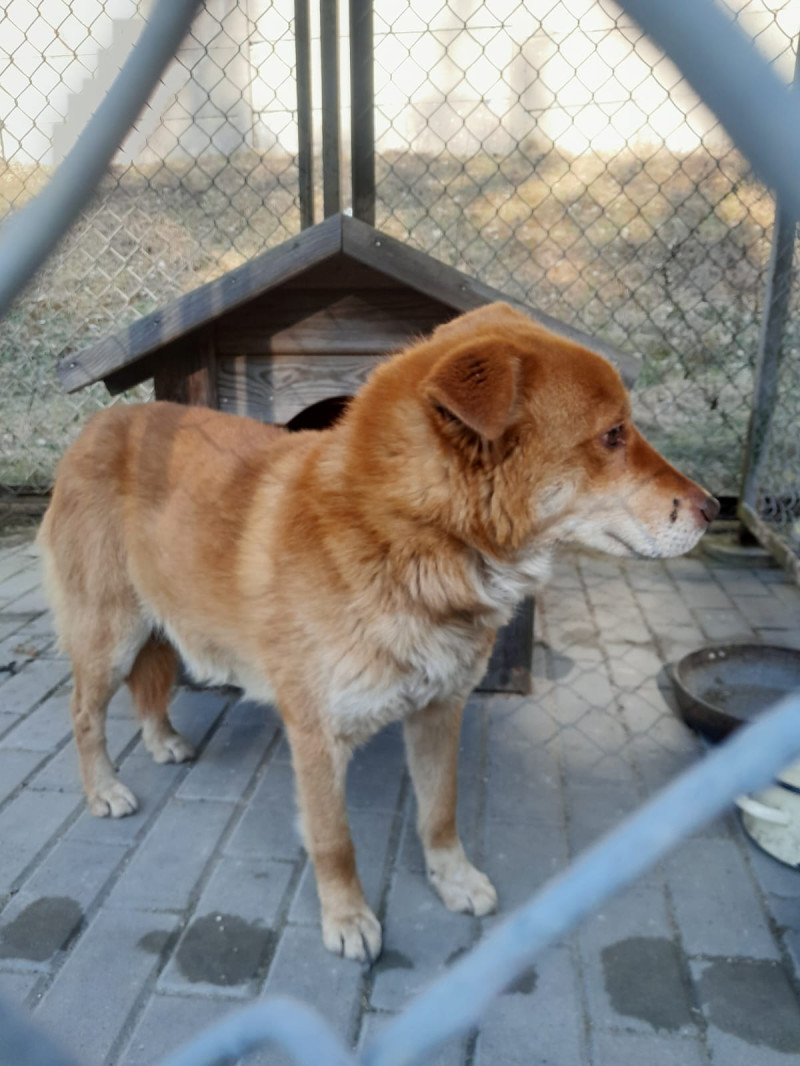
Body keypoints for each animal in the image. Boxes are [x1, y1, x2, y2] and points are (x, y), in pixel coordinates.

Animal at [38, 302, 718, 962]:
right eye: (613, 434)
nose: (713, 508)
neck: (411, 540)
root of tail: (96, 425)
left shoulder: (441, 710)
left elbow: (440, 812)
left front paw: (453, 879)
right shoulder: (316, 736)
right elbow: (334, 840)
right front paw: (347, 917)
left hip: (151, 625)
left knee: (146, 687)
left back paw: (162, 740)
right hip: (109, 636)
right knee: (83, 713)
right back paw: (104, 789)